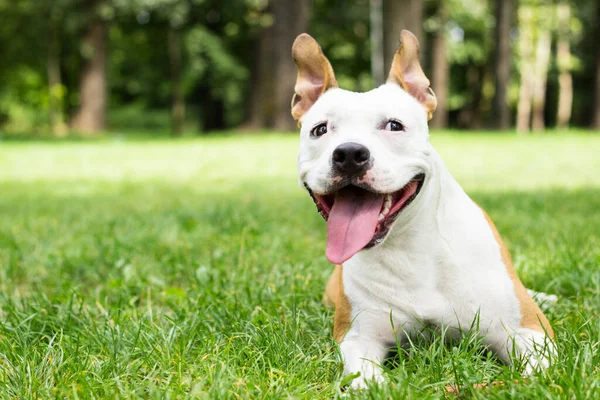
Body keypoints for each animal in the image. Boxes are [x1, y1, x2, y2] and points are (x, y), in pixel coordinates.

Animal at [290, 32, 552, 390]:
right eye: (320, 130)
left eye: (394, 125)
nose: (350, 153)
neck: (409, 247)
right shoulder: (358, 336)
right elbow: (364, 375)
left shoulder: (528, 330)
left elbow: (538, 373)